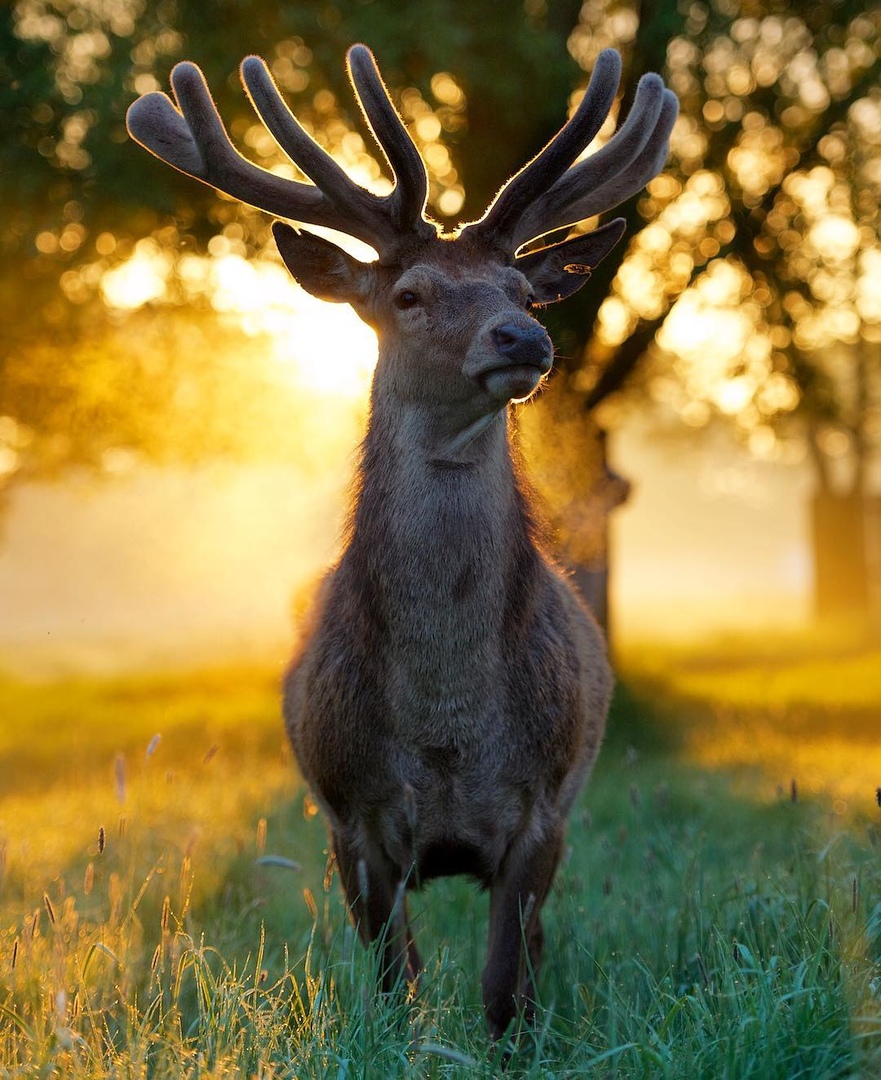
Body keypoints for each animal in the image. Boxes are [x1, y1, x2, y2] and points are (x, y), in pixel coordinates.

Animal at [125, 42, 673, 1036]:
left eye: (525, 288)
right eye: (410, 294)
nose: (524, 337)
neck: (447, 732)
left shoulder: (542, 813)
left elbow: (504, 992)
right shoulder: (352, 821)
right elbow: (395, 988)